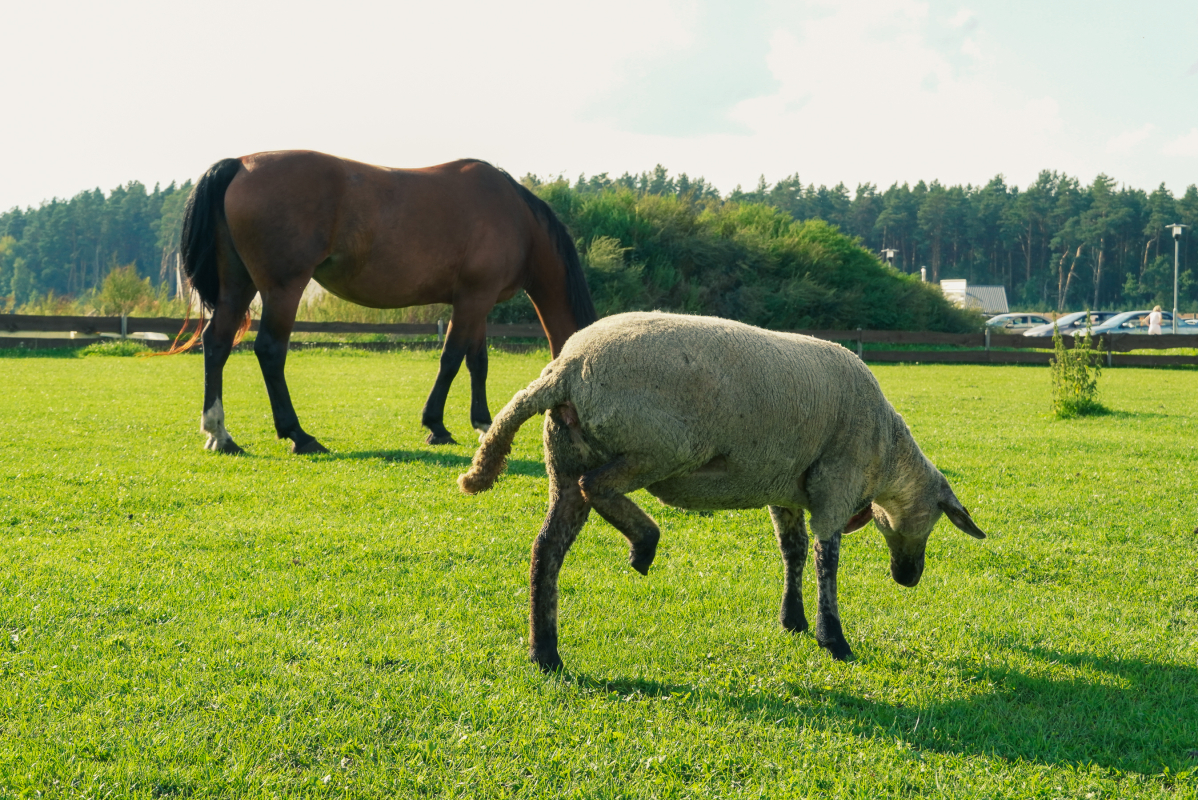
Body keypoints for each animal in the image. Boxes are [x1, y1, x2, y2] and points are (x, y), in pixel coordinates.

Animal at [166, 149, 596, 450]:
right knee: (270, 350)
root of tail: (241, 164)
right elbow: (452, 358)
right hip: (283, 288)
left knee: (217, 343)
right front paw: (436, 425)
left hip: (238, 285)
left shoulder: (477, 301)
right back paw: (299, 435)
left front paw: (484, 423)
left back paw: (220, 434)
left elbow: (477, 362)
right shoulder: (474, 299)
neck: (515, 217)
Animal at [457, 308, 982, 670]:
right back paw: (644, 542)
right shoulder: (835, 484)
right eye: (935, 519)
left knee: (547, 548)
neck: (887, 455)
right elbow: (825, 560)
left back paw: (545, 652)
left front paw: (792, 621)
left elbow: (792, 552)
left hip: (565, 456)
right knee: (597, 487)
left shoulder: (786, 491)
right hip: (659, 447)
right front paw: (833, 639)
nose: (908, 578)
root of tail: (564, 369)